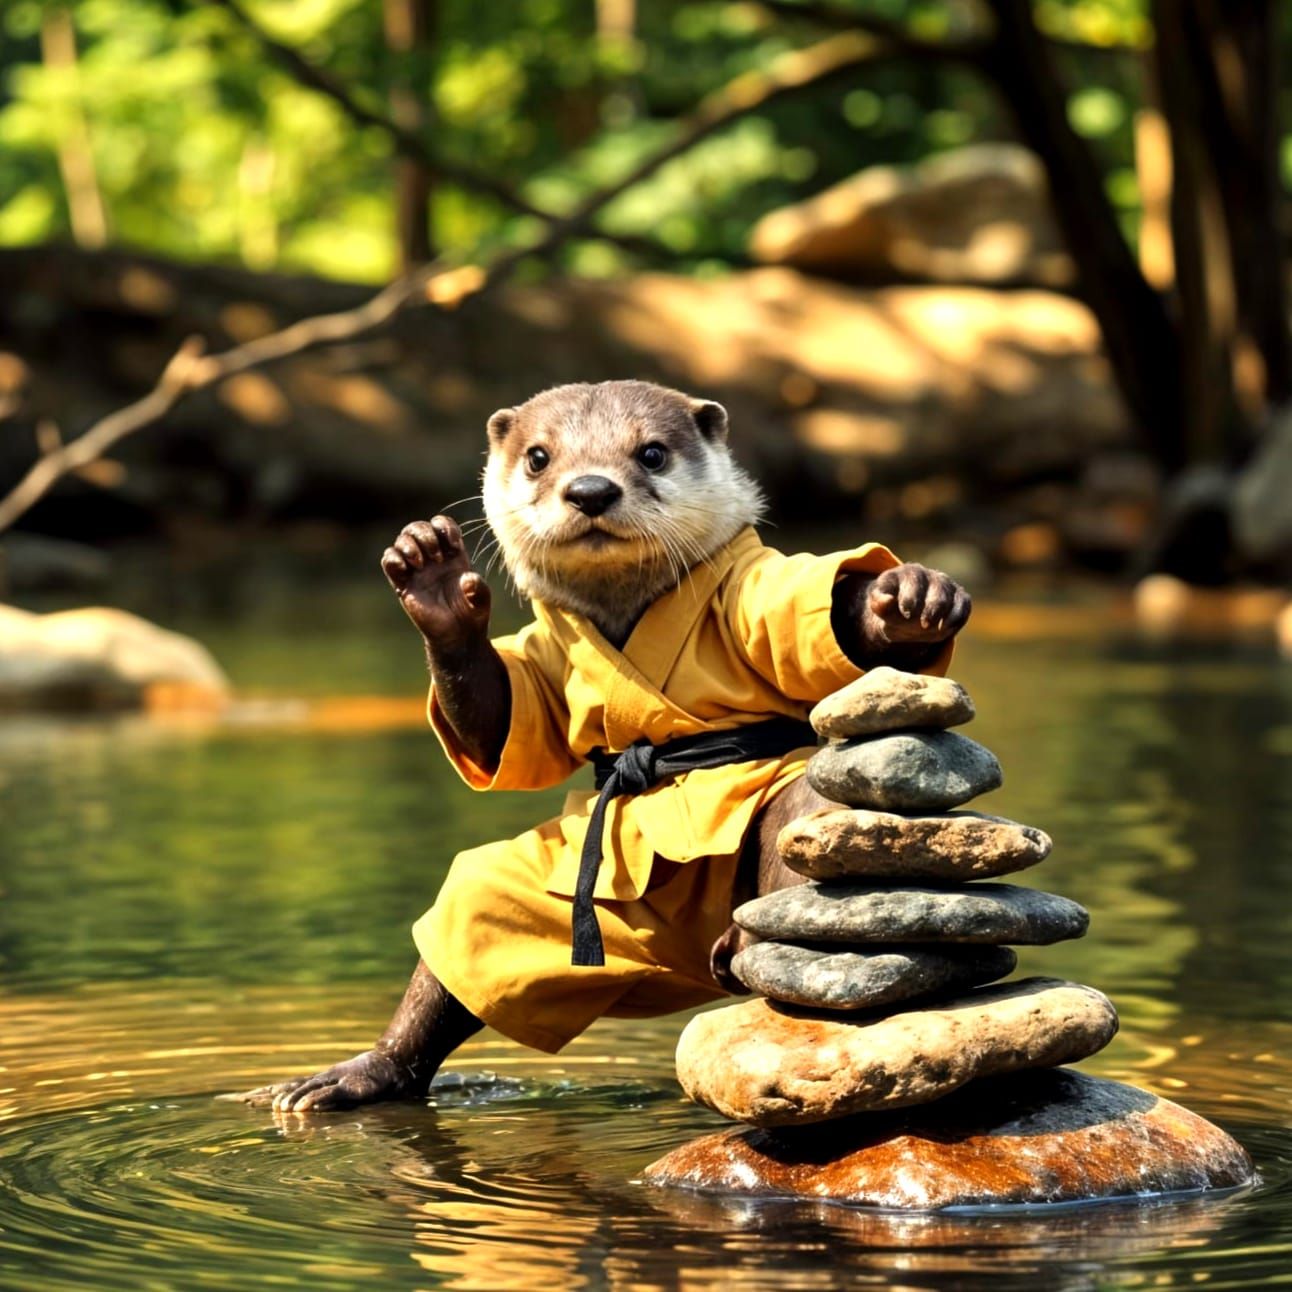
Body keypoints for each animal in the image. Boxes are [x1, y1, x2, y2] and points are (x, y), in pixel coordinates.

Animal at [235, 380, 971, 1113]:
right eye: (538, 456)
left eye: (652, 453)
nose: (590, 489)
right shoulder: (543, 656)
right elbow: (506, 723)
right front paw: (435, 583)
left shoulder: (750, 589)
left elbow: (811, 614)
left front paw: (903, 596)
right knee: (469, 924)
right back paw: (351, 1077)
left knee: (809, 823)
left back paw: (745, 939)